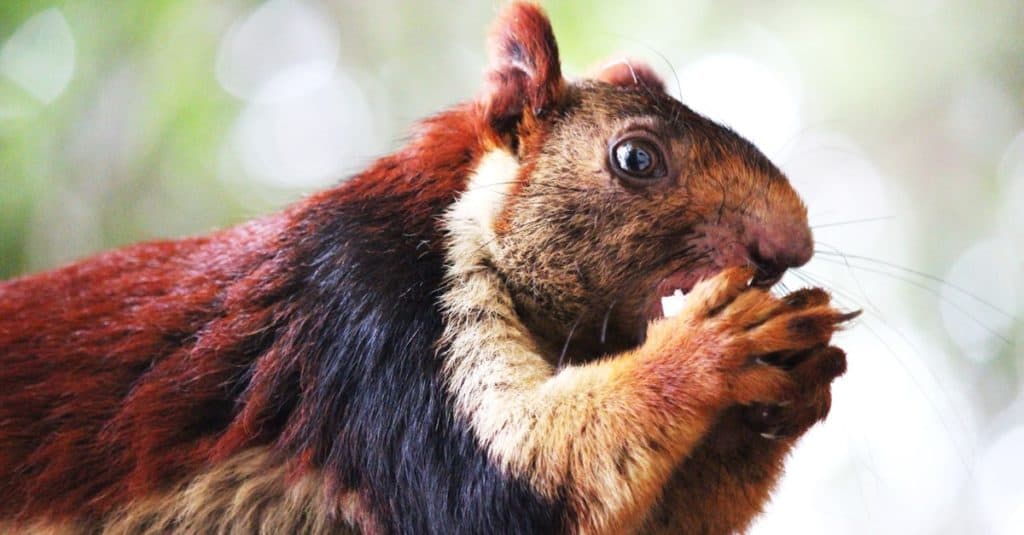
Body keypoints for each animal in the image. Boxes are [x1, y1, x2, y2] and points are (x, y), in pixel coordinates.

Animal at [2, 4, 856, 532]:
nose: (790, 244)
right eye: (636, 157)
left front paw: (797, 372)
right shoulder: (369, 320)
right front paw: (711, 343)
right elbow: (491, 489)